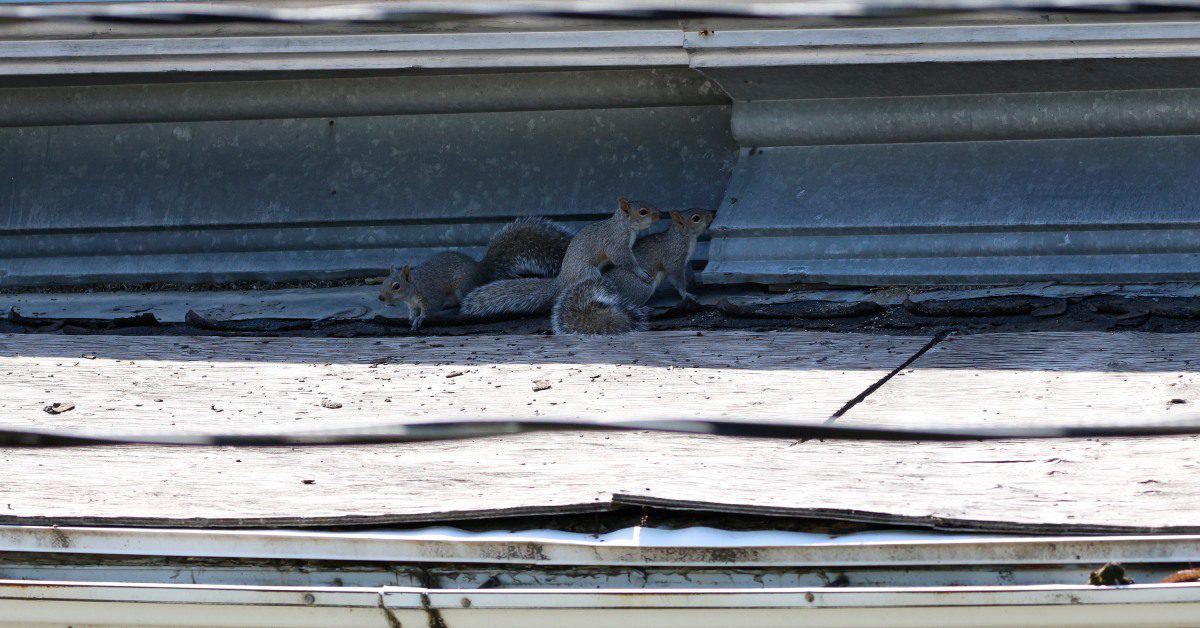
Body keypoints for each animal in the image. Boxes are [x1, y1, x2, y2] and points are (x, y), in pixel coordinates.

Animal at [549, 207, 710, 336]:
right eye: (696, 218)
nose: (712, 214)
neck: (682, 237)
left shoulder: (686, 262)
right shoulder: (673, 259)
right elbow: (676, 278)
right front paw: (687, 294)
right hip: (642, 288)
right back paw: (644, 309)